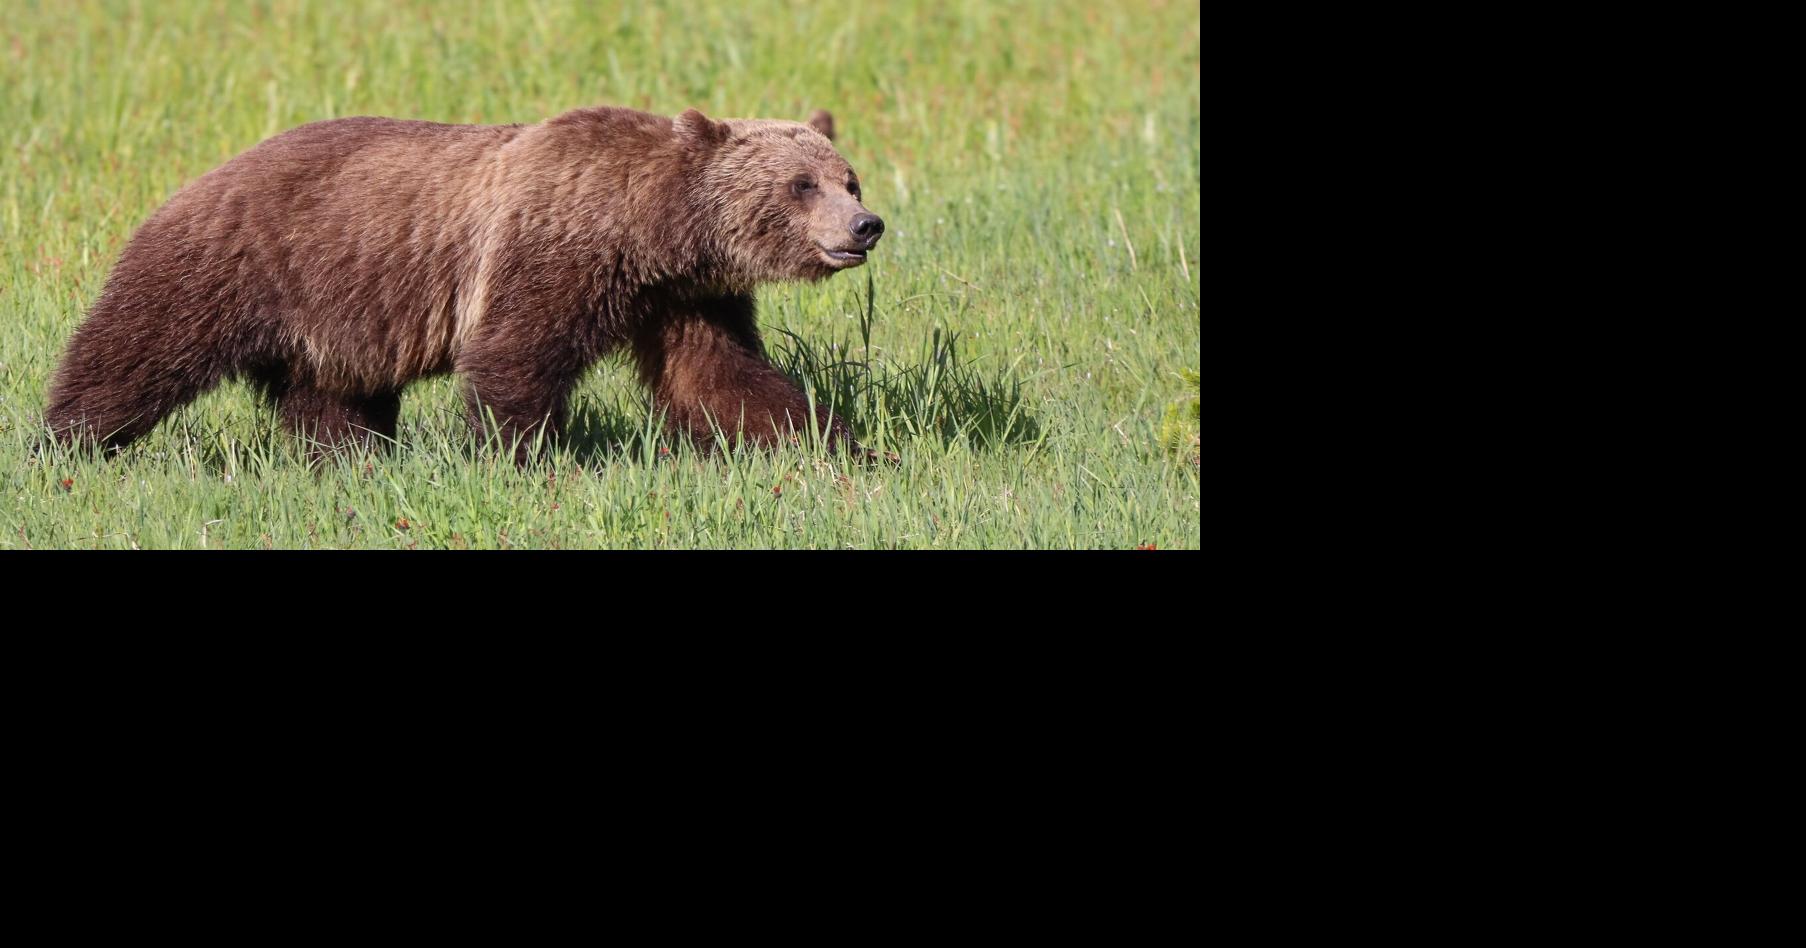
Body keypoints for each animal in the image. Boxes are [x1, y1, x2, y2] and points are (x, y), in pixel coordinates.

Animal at [44, 105, 884, 463]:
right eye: (802, 184)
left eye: (850, 177)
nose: (865, 225)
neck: (648, 231)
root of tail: (198, 176)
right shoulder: (552, 249)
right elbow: (514, 355)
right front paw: (521, 455)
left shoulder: (683, 297)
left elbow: (722, 378)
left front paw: (839, 447)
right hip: (233, 263)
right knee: (134, 351)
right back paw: (65, 444)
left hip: (334, 311)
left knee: (330, 397)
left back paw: (351, 461)